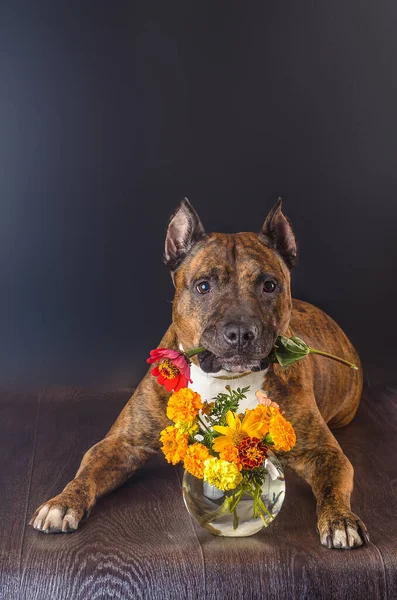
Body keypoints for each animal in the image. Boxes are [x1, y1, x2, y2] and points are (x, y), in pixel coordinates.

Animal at [31, 200, 368, 548]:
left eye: (269, 285)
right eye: (203, 286)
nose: (240, 332)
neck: (224, 380)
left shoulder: (323, 451)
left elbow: (333, 483)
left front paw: (340, 519)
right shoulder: (122, 443)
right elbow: (87, 470)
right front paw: (62, 503)